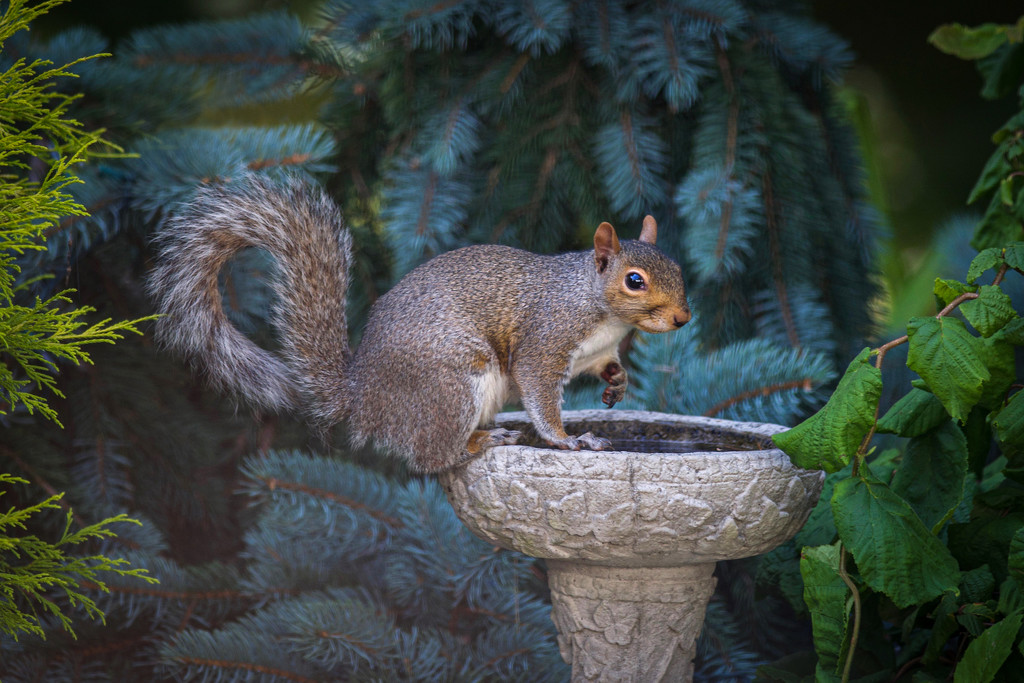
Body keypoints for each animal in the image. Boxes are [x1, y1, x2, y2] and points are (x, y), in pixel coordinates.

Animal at [148, 176, 692, 473]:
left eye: (679, 268)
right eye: (635, 281)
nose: (683, 318)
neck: (601, 314)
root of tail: (362, 398)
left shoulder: (596, 348)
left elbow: (606, 366)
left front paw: (617, 382)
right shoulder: (547, 338)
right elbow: (540, 394)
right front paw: (566, 440)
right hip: (450, 384)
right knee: (432, 457)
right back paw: (480, 441)